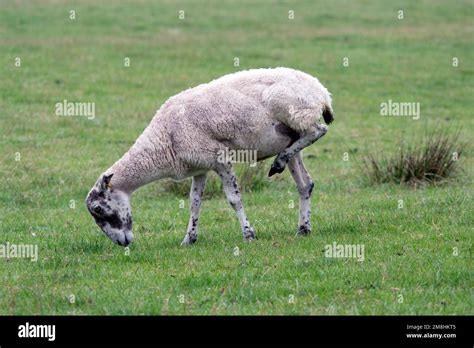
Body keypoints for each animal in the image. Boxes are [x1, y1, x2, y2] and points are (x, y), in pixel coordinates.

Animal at [86, 66, 334, 246]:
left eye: (98, 209)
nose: (122, 243)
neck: (164, 140)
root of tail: (321, 91)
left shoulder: (220, 159)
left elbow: (233, 199)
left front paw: (249, 234)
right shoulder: (200, 167)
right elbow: (194, 203)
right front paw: (189, 239)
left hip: (296, 111)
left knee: (319, 131)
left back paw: (278, 164)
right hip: (289, 134)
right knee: (305, 183)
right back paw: (303, 228)